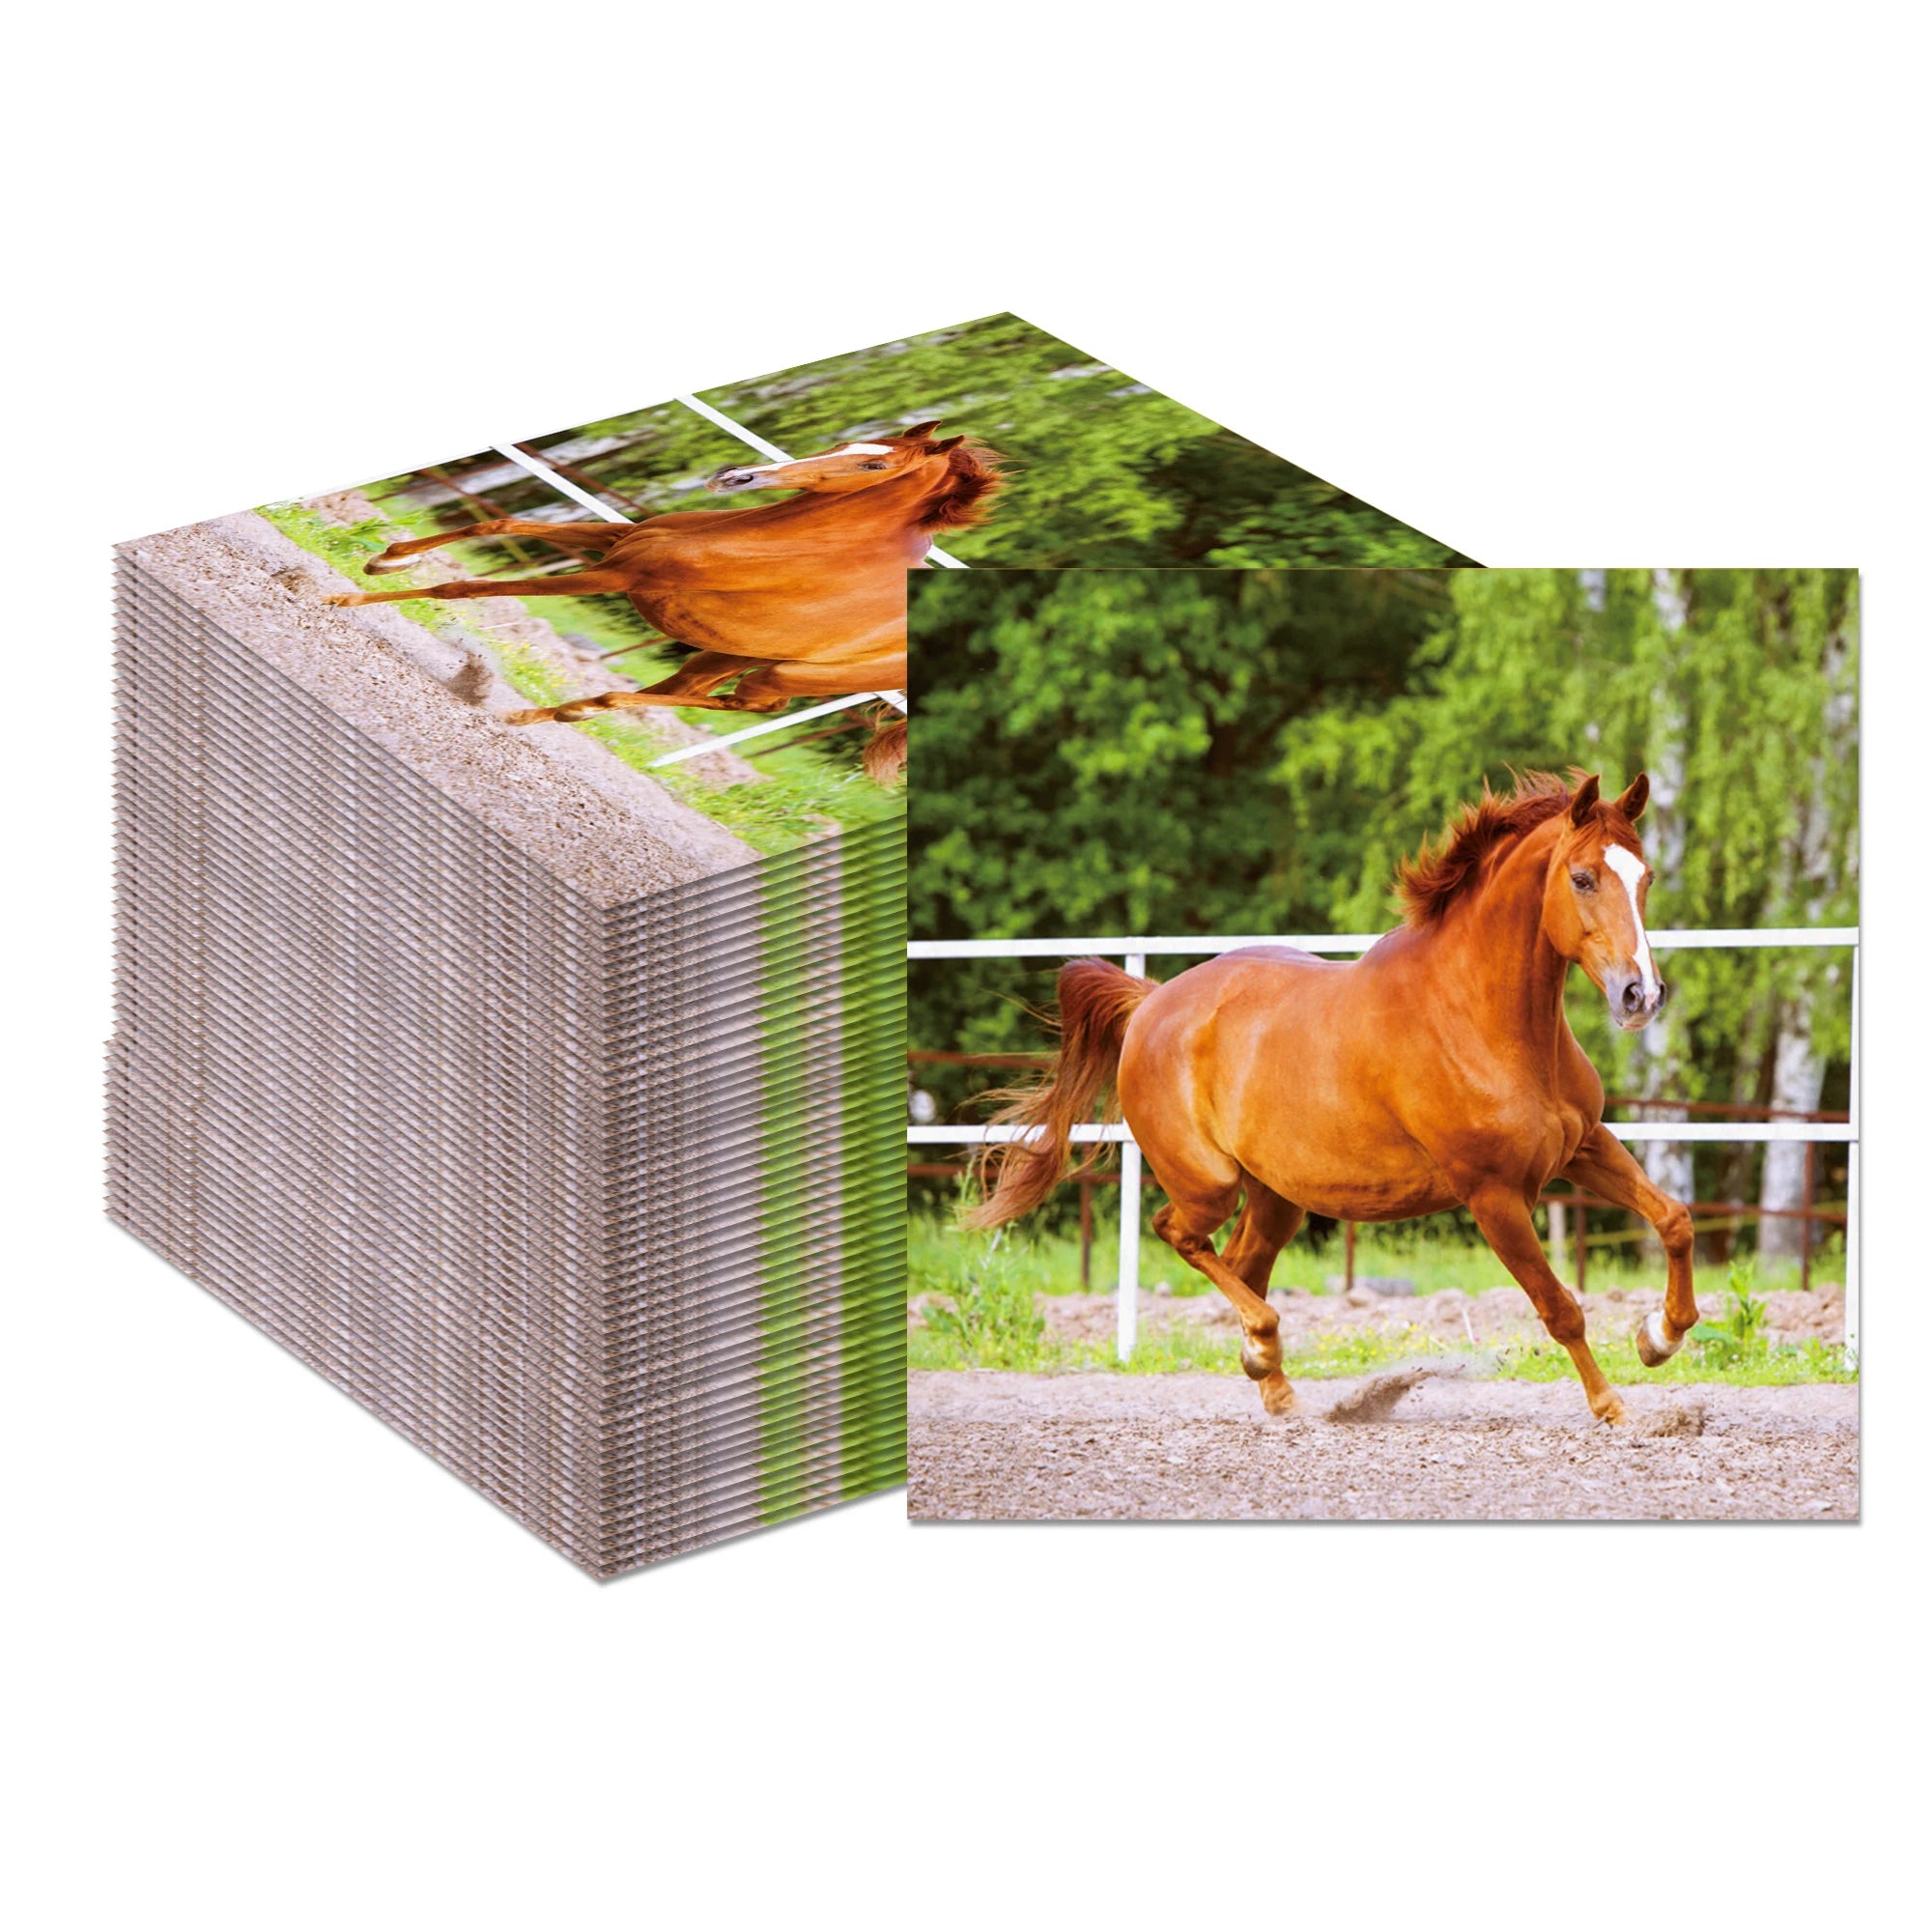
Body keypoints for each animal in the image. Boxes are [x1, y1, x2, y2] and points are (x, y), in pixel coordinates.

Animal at [322, 421, 1004, 778]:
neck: (766, 540)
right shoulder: (616, 545)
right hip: (726, 651)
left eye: (873, 466)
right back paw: (550, 713)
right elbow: (498, 525)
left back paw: (569, 709)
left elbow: (462, 586)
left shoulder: (616, 579)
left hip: (781, 673)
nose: (736, 477)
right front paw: (386, 558)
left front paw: (342, 600)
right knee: (682, 689)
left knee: (750, 704)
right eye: (851, 444)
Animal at [970, 771, 1697, 1426]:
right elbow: (1560, 1306)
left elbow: (1674, 1219)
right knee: (1179, 1233)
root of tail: (1151, 1003)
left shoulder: (1584, 1147)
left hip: (1276, 1196)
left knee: (1243, 1261)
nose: (1641, 995)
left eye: (1646, 879)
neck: (1485, 1021)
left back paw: (1274, 1383)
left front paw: (1658, 1337)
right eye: (1583, 878)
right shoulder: (1493, 1194)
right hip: (1208, 1184)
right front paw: (1613, 1406)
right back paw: (1266, 1345)